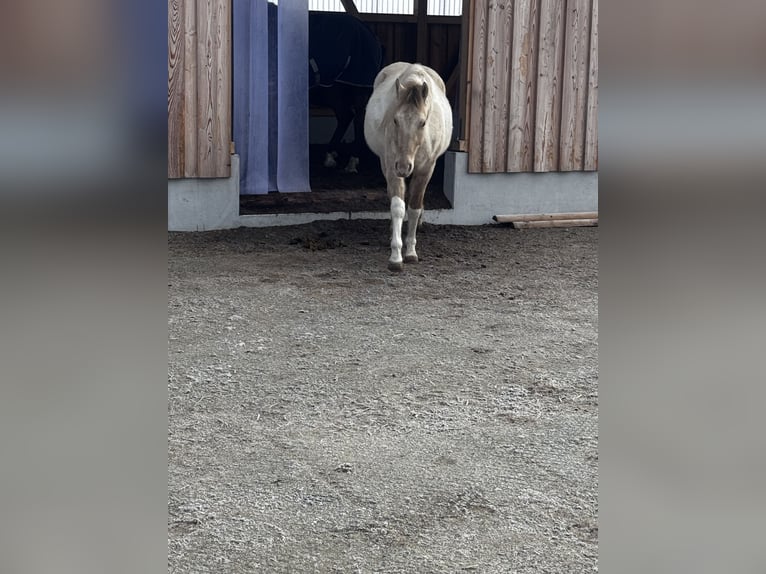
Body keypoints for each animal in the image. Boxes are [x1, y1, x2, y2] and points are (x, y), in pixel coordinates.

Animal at [308, 12, 383, 173]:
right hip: (333, 92)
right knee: (345, 116)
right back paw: (330, 157)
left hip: (357, 88)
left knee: (358, 118)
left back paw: (351, 163)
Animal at [364, 62, 453, 271]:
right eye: (395, 120)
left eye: (423, 122)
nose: (404, 166)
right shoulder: (392, 167)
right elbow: (398, 207)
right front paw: (396, 256)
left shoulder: (425, 170)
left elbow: (414, 207)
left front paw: (411, 251)